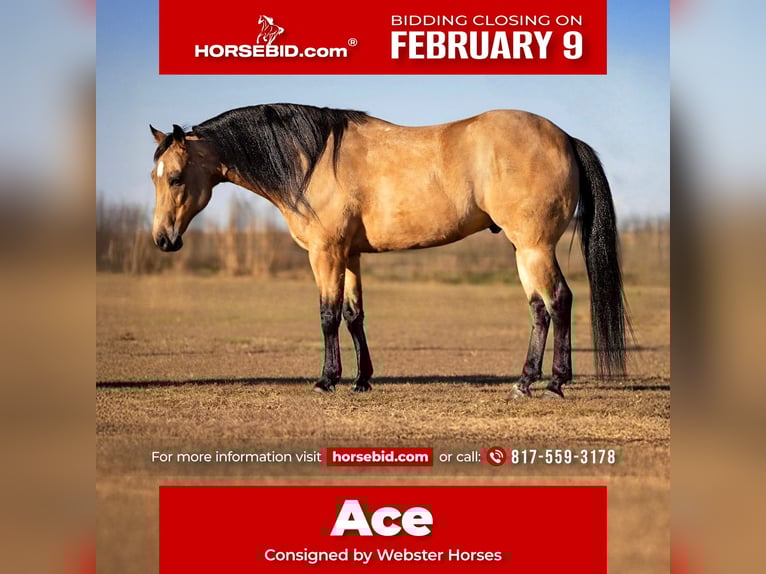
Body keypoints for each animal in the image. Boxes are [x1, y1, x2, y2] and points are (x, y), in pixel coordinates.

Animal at [149, 104, 629, 399]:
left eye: (175, 177)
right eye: (155, 176)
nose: (162, 239)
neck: (313, 160)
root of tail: (564, 137)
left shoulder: (325, 253)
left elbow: (327, 316)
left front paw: (326, 380)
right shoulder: (350, 255)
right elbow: (353, 315)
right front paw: (362, 380)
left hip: (533, 247)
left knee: (558, 302)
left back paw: (549, 383)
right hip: (524, 249)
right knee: (541, 309)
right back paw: (530, 380)